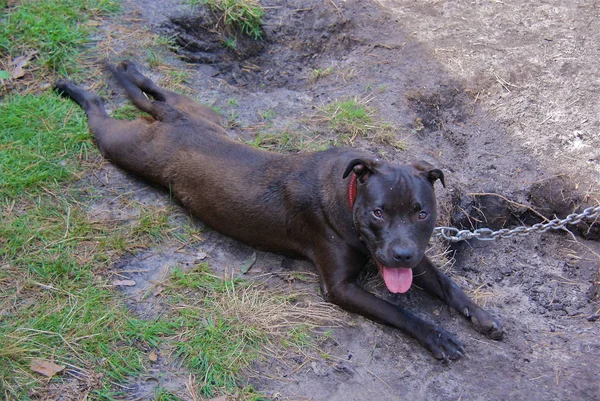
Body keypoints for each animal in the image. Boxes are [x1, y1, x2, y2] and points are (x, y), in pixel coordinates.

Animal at [56, 61, 504, 360]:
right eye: (378, 213)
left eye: (421, 214)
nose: (401, 254)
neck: (348, 195)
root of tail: (173, 121)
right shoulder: (340, 288)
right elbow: (398, 311)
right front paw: (436, 335)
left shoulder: (415, 258)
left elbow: (447, 283)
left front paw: (482, 316)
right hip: (121, 146)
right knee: (98, 105)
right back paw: (71, 87)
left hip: (199, 112)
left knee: (153, 90)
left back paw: (130, 67)